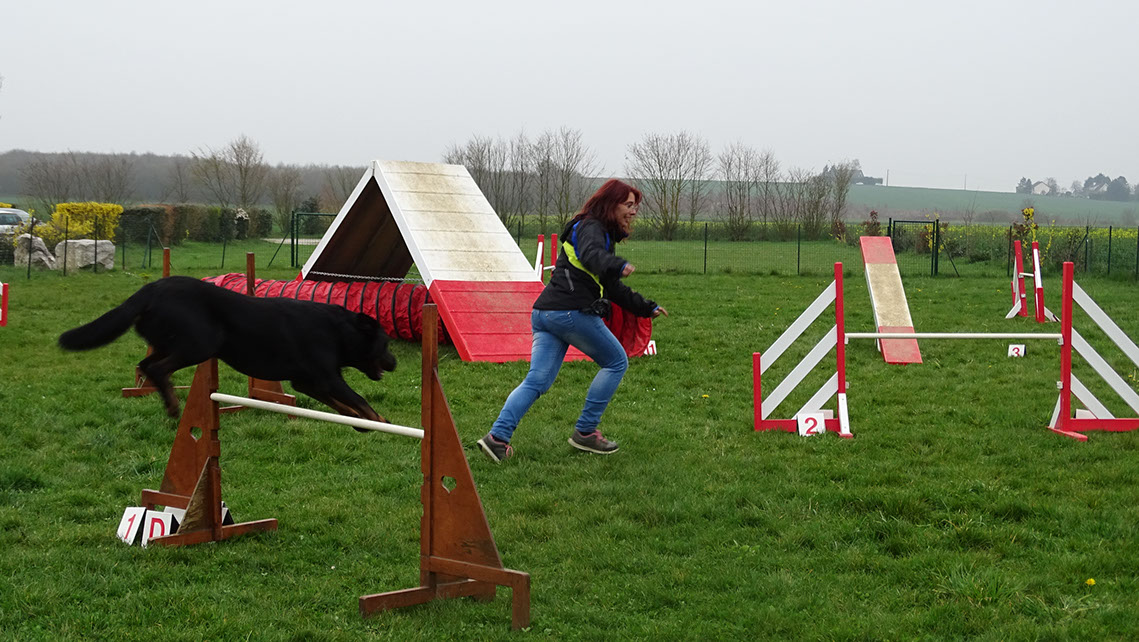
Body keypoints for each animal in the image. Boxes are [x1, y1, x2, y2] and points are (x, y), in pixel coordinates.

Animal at [59, 276, 397, 423]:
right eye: (386, 343)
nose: (395, 362)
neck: (338, 332)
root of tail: (150, 288)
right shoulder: (327, 377)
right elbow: (359, 399)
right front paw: (380, 422)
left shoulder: (308, 382)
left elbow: (341, 404)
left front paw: (357, 420)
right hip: (201, 343)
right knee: (156, 368)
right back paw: (174, 407)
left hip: (173, 343)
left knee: (146, 366)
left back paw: (167, 402)